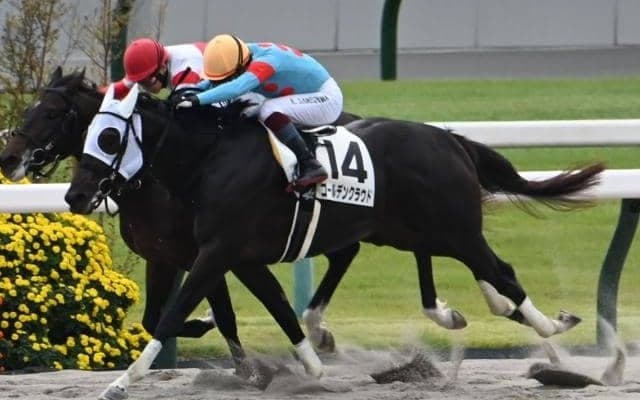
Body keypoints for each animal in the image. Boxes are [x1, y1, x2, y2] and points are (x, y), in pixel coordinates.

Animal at [65, 83, 603, 399]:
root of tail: (449, 138)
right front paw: (307, 365)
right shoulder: (234, 254)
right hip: (406, 228)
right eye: (87, 131)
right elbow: (276, 305)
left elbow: (174, 314)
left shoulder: (217, 250)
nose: (76, 194)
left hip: (454, 228)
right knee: (467, 270)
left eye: (108, 137)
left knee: (500, 272)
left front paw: (122, 381)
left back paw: (556, 330)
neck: (210, 158)